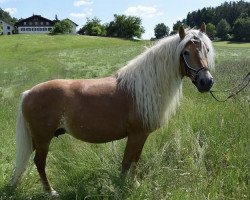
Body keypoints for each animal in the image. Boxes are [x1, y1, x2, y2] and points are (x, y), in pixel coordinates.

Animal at [10, 23, 215, 195]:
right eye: (186, 52)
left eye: (206, 49)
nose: (206, 82)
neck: (142, 86)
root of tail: (28, 93)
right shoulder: (137, 134)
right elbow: (128, 162)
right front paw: (125, 186)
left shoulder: (140, 136)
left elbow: (133, 161)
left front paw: (132, 184)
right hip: (43, 139)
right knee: (39, 162)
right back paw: (50, 191)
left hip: (37, 139)